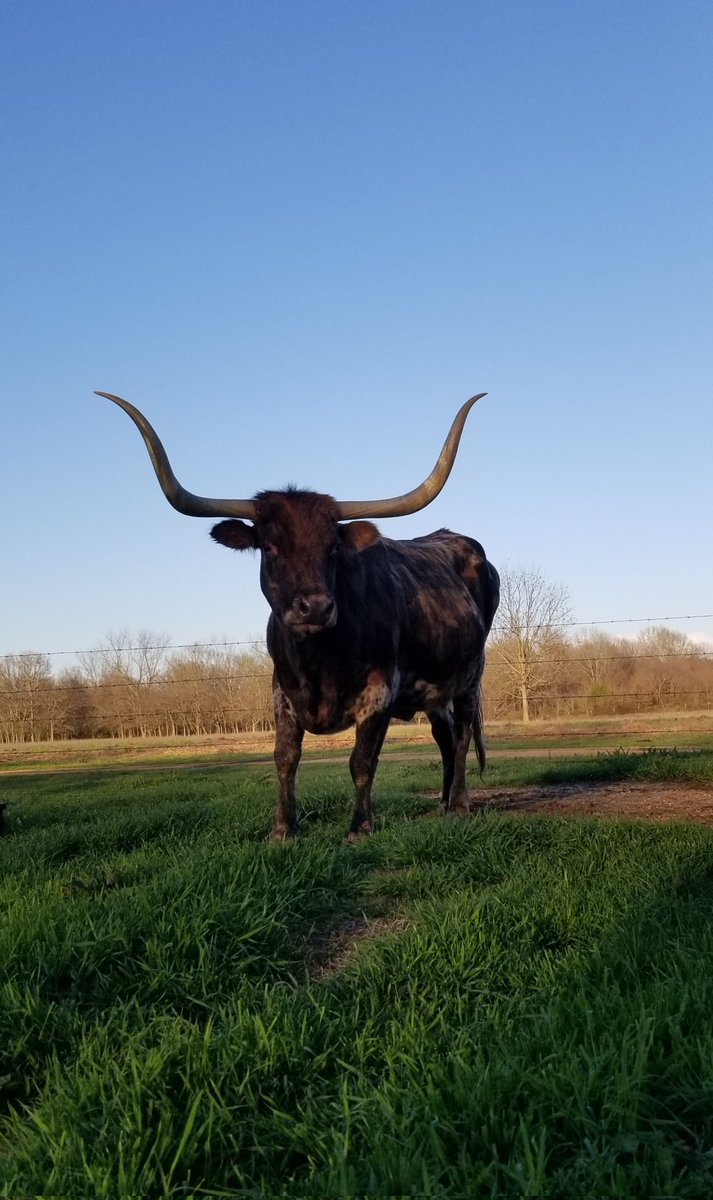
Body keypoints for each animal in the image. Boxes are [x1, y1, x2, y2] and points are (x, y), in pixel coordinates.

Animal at [97, 388, 499, 840]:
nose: (316, 606)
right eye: (269, 546)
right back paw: (444, 802)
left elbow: (362, 762)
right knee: (444, 736)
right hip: (433, 690)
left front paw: (359, 827)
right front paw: (282, 830)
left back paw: (460, 804)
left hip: (470, 675)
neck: (317, 659)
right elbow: (285, 757)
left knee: (462, 735)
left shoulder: (380, 690)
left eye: (333, 547)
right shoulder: (281, 689)